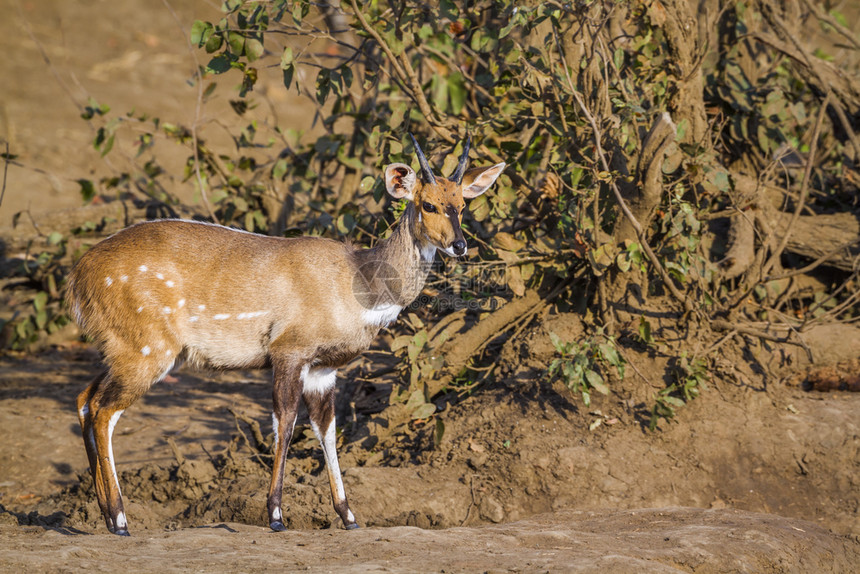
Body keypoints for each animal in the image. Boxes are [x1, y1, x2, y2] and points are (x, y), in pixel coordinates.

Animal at [70, 135, 508, 536]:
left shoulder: (323, 370)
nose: (460, 245)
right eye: (428, 204)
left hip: (123, 349)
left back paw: (106, 515)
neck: (360, 283)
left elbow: (327, 429)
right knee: (104, 410)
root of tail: (78, 274)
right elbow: (285, 421)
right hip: (149, 350)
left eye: (462, 205)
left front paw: (349, 517)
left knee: (85, 399)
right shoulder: (289, 352)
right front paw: (276, 516)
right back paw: (120, 520)